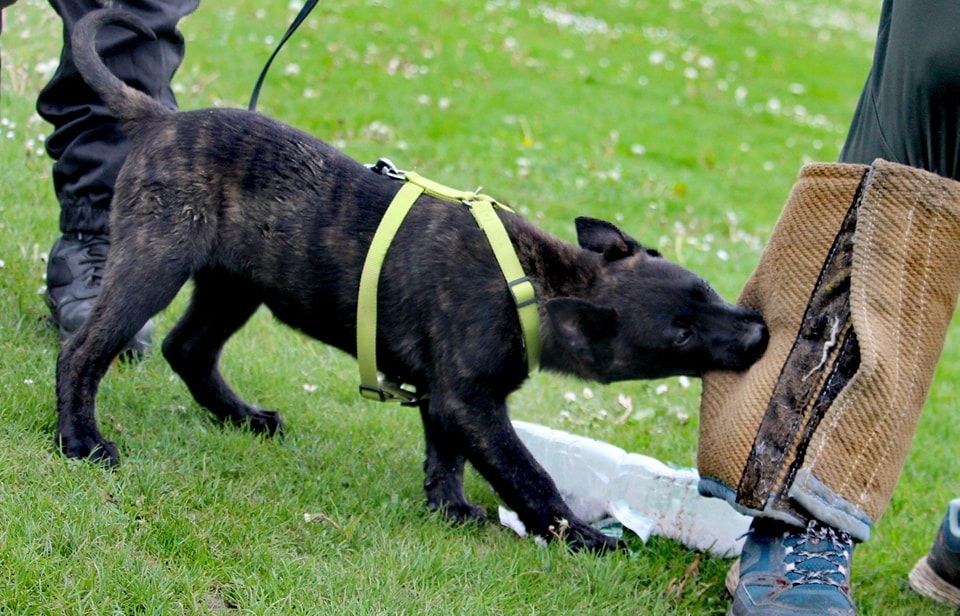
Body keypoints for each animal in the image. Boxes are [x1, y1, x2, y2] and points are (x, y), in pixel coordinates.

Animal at [58, 9, 764, 552]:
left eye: (707, 291)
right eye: (679, 334)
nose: (759, 333)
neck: (534, 286)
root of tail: (158, 120)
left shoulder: (443, 395)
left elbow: (444, 454)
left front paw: (448, 508)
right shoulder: (471, 401)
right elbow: (526, 473)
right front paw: (578, 536)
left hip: (235, 287)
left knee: (188, 348)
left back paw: (242, 417)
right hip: (154, 263)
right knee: (84, 351)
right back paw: (80, 440)